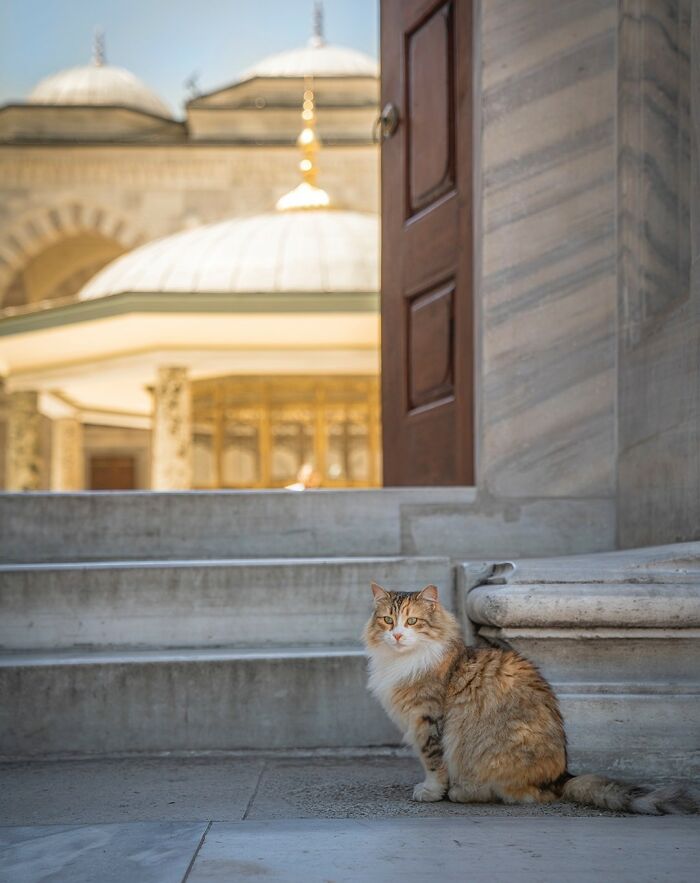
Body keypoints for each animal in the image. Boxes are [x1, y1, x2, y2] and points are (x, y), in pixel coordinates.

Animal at [364, 580, 696, 816]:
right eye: (388, 620)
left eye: (412, 622)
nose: (397, 635)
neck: (402, 661)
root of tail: (562, 775)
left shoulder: (429, 720)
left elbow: (434, 763)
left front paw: (432, 792)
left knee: (522, 795)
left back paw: (464, 791)